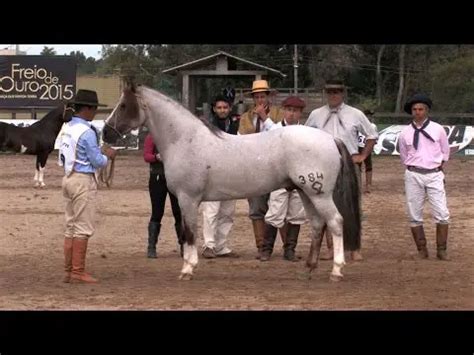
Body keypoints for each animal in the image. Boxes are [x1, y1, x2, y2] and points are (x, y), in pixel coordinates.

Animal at [103, 82, 362, 280]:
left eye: (124, 105)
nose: (105, 133)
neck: (185, 140)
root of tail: (330, 138)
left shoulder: (188, 199)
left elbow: (189, 232)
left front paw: (187, 269)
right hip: (306, 193)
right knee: (318, 225)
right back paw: (308, 269)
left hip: (319, 194)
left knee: (335, 222)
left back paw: (336, 271)